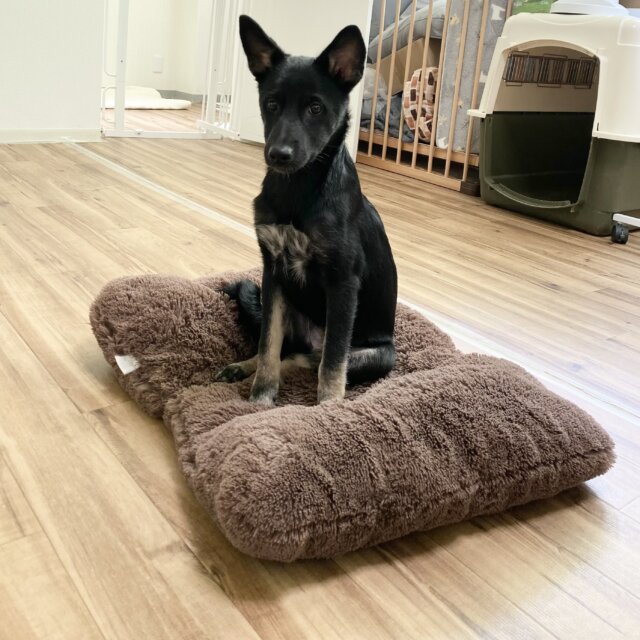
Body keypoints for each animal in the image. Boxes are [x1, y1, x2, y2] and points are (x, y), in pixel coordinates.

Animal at [216, 15, 398, 405]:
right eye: (271, 104)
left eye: (315, 108)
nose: (278, 155)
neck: (297, 190)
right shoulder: (273, 273)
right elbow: (269, 343)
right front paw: (261, 396)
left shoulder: (343, 284)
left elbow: (332, 361)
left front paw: (328, 408)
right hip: (287, 306)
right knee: (288, 350)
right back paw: (242, 367)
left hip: (378, 355)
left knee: (309, 358)